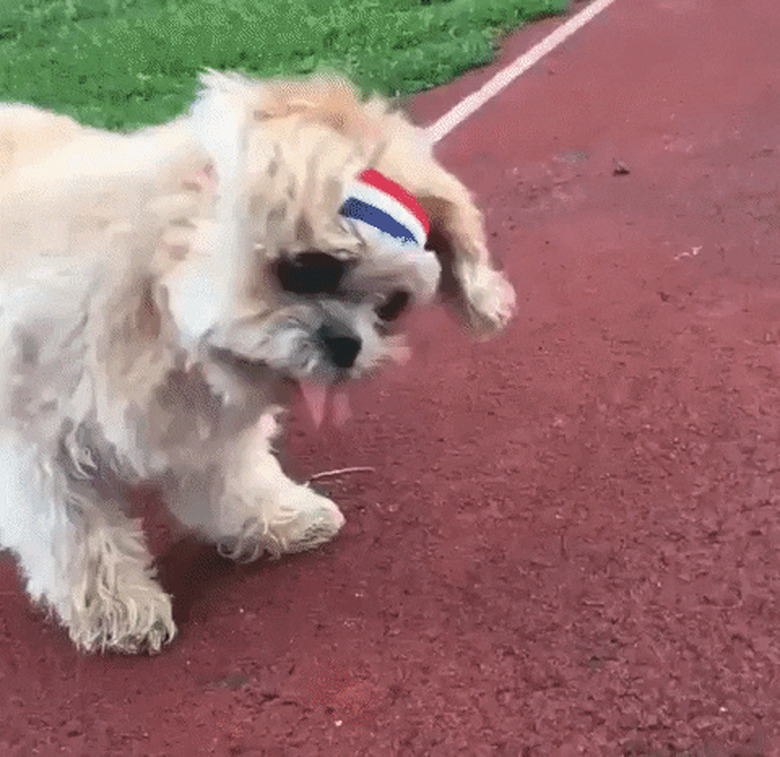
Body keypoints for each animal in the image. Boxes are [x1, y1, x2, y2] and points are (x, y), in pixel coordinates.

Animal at [1, 69, 516, 648]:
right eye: (308, 268)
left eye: (392, 306)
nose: (349, 345)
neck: (154, 305)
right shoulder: (38, 445)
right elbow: (75, 531)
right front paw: (118, 609)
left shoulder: (205, 430)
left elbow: (235, 480)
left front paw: (279, 517)